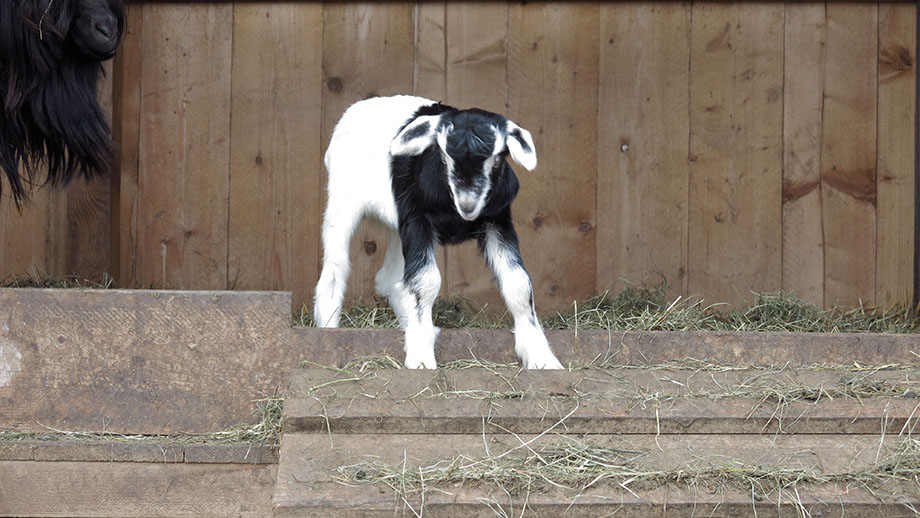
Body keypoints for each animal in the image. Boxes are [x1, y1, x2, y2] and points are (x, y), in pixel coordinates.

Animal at [312, 93, 564, 370]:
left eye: (497, 159)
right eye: (444, 155)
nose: (468, 205)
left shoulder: (497, 221)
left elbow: (519, 282)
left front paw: (542, 357)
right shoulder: (418, 220)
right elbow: (426, 280)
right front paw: (421, 357)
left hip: (397, 225)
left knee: (390, 279)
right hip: (342, 202)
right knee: (335, 267)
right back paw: (328, 329)